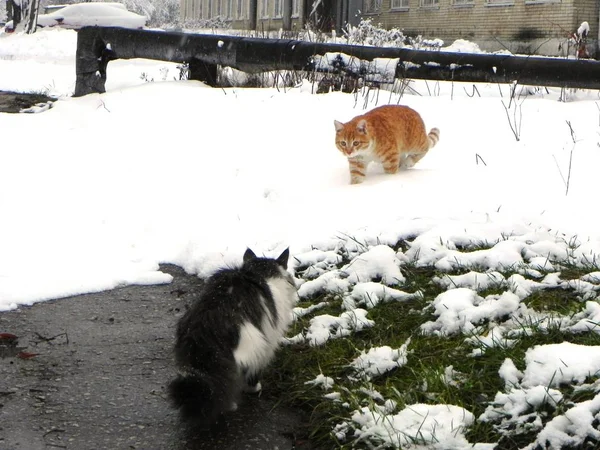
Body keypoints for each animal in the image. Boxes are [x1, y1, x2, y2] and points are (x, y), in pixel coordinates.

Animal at [166, 246, 298, 426]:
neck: (259, 272)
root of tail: (206, 327)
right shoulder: (268, 340)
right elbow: (254, 372)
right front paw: (254, 388)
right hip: (252, 345)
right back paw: (231, 404)